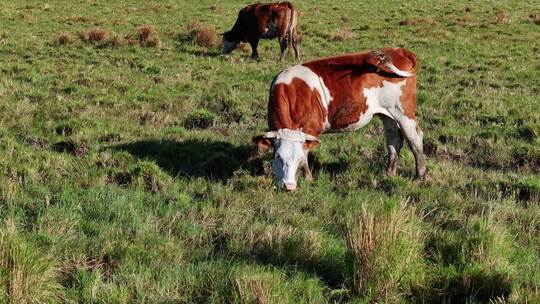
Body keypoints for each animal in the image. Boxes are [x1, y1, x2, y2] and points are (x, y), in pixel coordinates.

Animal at [252, 47, 426, 190]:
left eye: (297, 158)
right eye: (278, 157)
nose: (288, 186)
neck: (292, 94)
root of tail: (399, 50)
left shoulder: (311, 129)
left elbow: (306, 156)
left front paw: (308, 178)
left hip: (404, 113)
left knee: (415, 139)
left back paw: (421, 176)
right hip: (387, 115)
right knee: (394, 141)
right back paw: (389, 173)